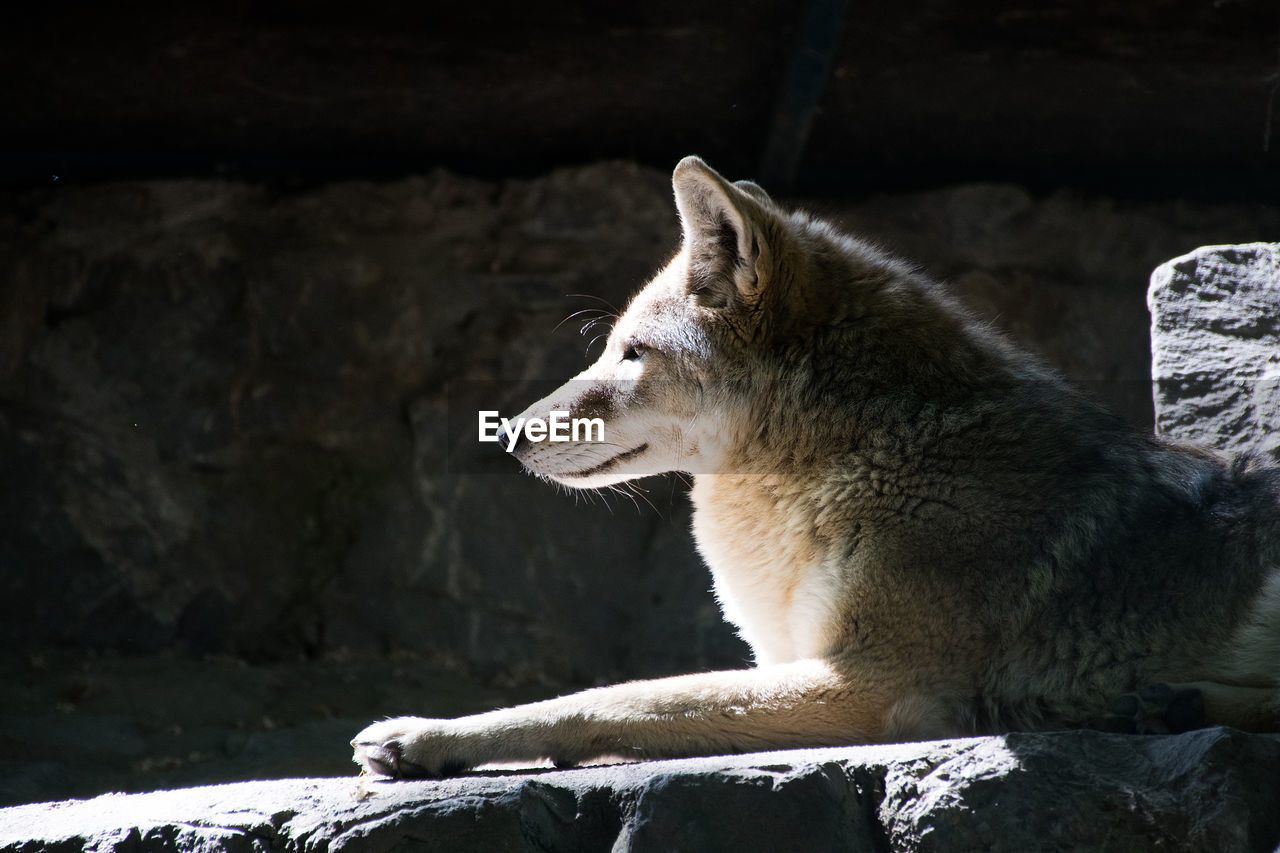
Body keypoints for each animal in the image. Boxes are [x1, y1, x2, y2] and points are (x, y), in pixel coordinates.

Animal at [350, 156, 1280, 773]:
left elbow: (613, 695)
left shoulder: (873, 685)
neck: (861, 455)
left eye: (631, 354)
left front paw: (423, 734)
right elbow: (625, 692)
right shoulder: (796, 662)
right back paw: (1165, 704)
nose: (507, 434)